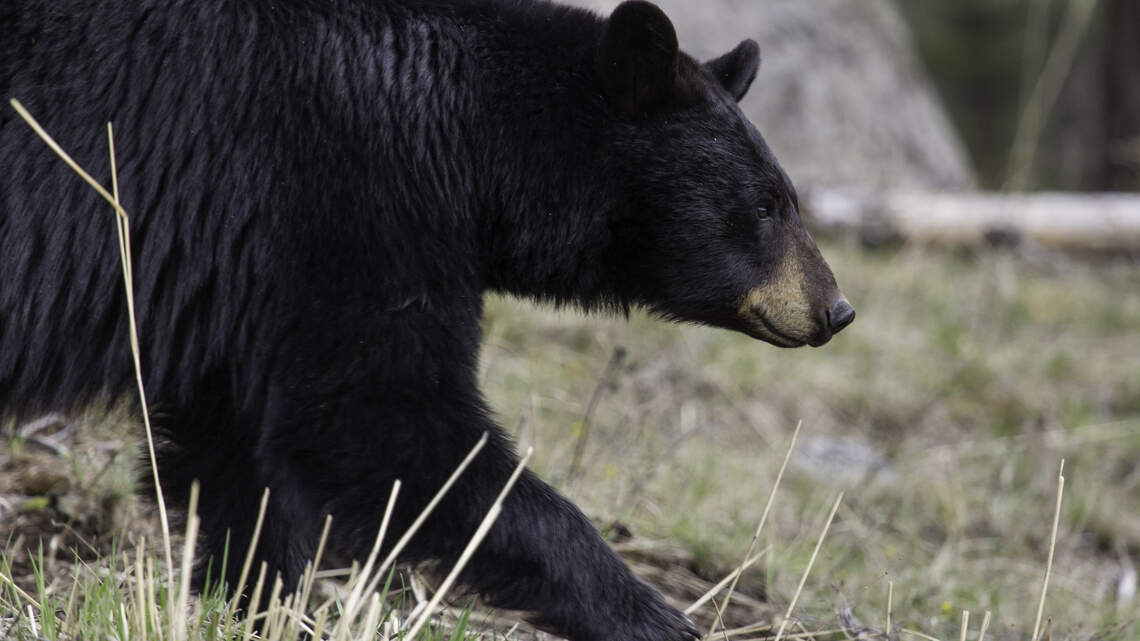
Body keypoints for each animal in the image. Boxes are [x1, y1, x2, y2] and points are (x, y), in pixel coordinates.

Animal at [0, 1, 854, 640]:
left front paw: (254, 600)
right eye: (765, 206)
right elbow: (384, 421)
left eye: (787, 197)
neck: (469, 135)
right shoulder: (343, 199)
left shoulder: (247, 282)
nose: (836, 308)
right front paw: (651, 615)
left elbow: (240, 453)